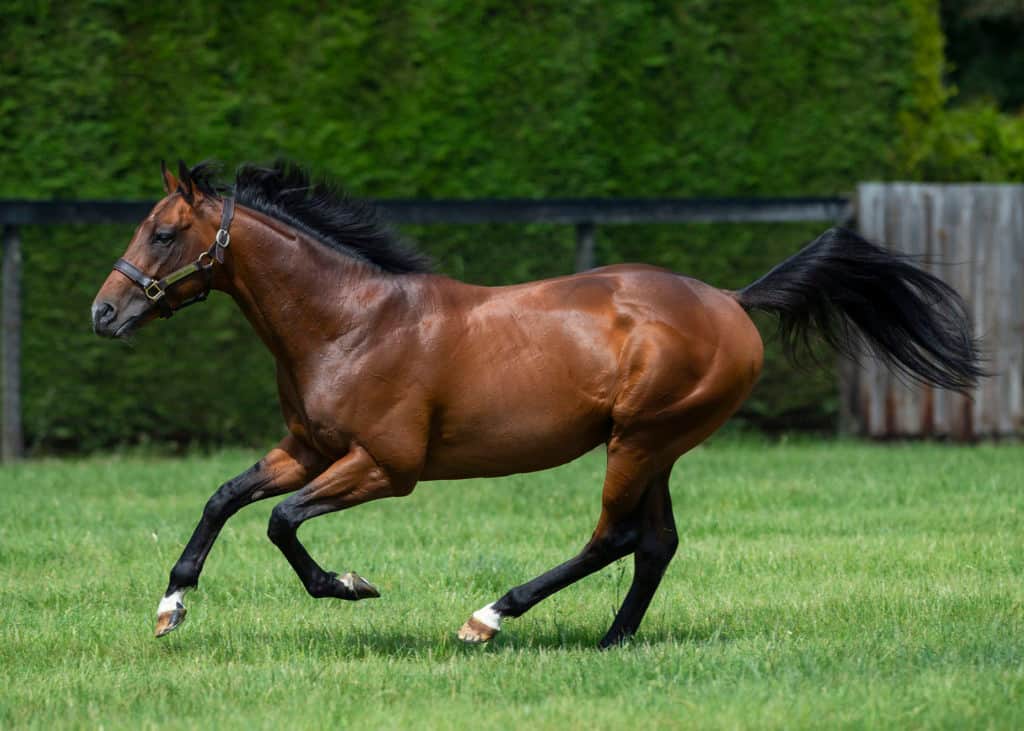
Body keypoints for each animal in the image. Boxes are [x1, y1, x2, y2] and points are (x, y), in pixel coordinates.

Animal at [90, 159, 983, 642]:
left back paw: (490, 616)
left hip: (640, 440)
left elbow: (280, 521)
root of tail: (731, 300)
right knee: (656, 542)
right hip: (655, 445)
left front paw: (350, 585)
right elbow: (225, 497)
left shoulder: (384, 467)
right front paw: (170, 607)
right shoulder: (306, 448)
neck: (351, 320)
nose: (104, 312)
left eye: (163, 232)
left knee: (614, 536)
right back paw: (615, 638)